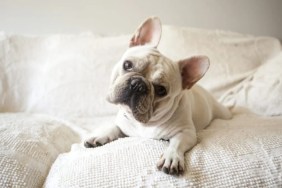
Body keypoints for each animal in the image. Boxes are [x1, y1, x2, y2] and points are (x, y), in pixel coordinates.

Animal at [84, 16, 234, 176]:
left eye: (161, 90)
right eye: (127, 65)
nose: (138, 84)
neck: (144, 122)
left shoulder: (186, 132)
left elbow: (176, 143)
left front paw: (172, 157)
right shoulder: (122, 123)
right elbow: (113, 127)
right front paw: (100, 135)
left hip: (222, 113)